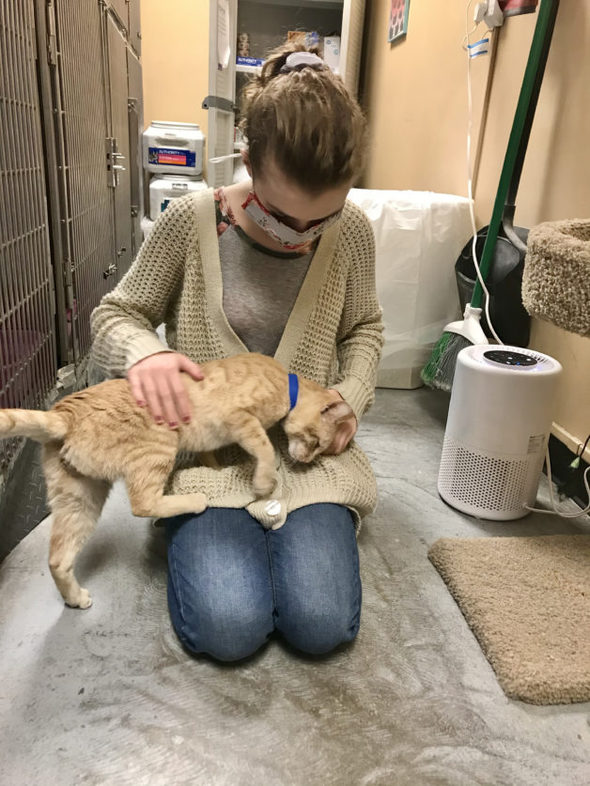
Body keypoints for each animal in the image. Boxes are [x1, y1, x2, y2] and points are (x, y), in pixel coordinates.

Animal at [0, 352, 352, 608]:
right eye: (317, 444)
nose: (306, 461)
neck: (286, 384)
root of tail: (64, 413)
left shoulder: (212, 439)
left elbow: (210, 456)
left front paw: (214, 471)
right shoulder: (240, 419)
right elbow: (264, 448)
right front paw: (265, 482)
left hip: (79, 499)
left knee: (58, 559)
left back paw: (75, 598)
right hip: (160, 446)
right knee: (143, 503)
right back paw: (195, 501)